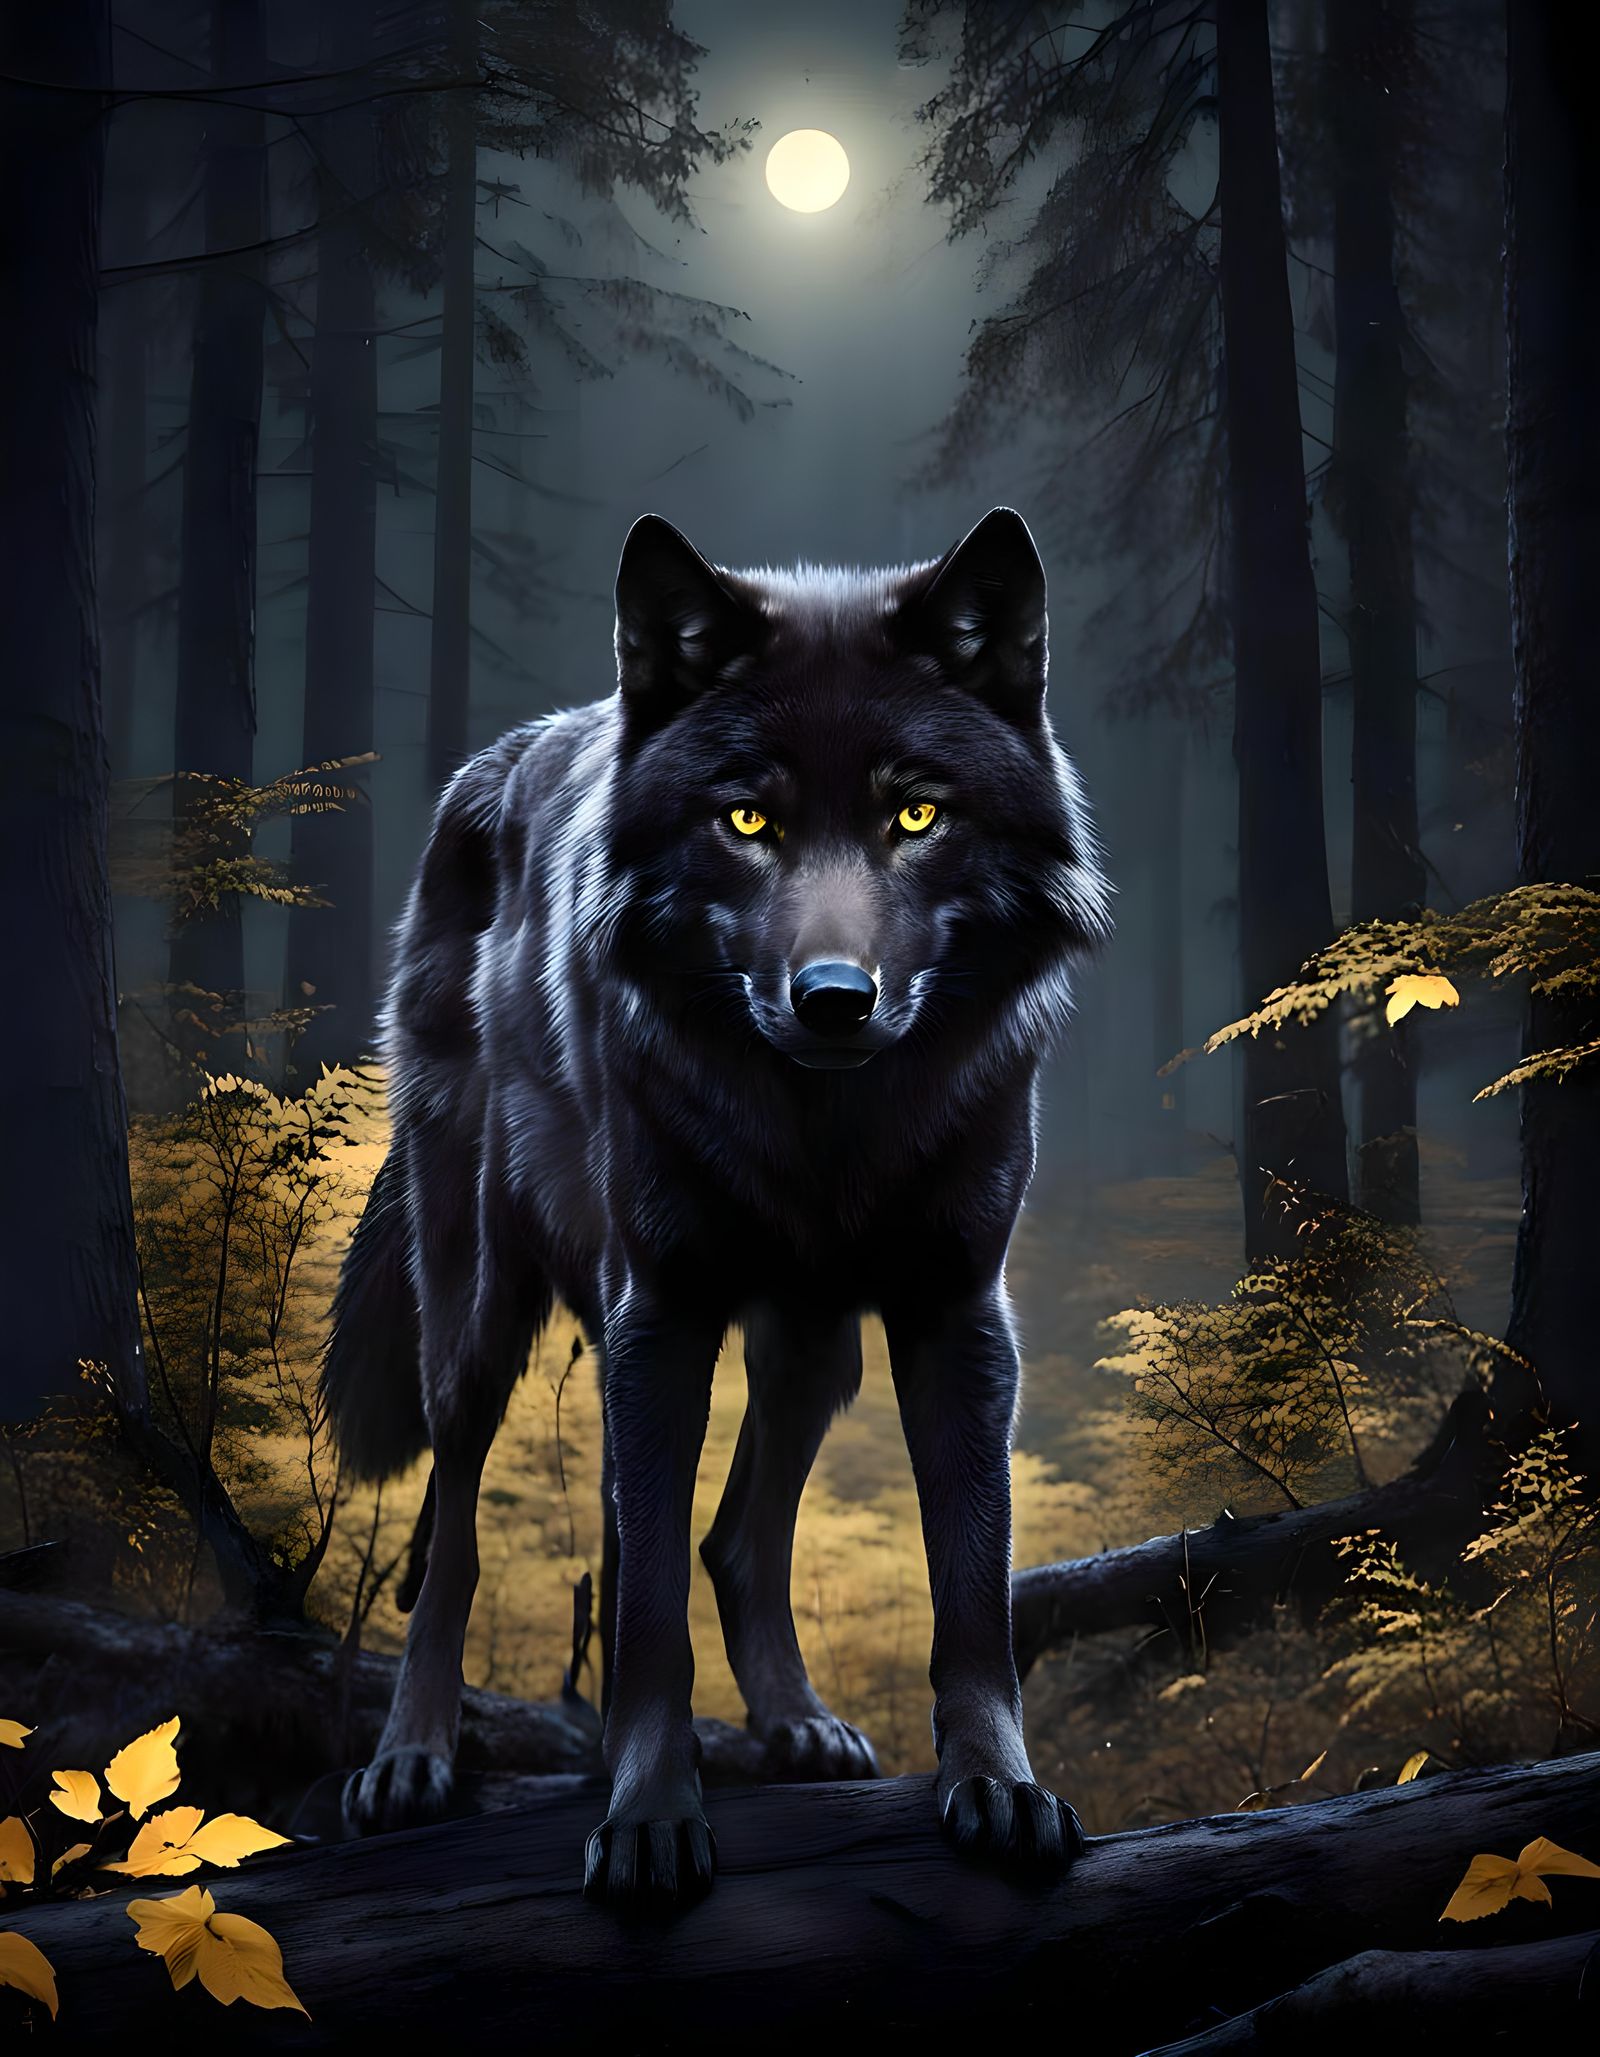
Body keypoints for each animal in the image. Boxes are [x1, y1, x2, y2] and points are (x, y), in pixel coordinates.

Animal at [322, 505, 1111, 1906]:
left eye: (917, 813)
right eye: (746, 817)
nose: (835, 999)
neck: (822, 1127)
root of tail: (504, 753)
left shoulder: (957, 1316)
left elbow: (970, 1591)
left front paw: (999, 1791)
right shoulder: (666, 1308)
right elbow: (638, 1623)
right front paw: (647, 1817)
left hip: (812, 1346)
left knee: (724, 1538)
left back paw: (794, 1721)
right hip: (480, 1311)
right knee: (456, 1537)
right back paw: (409, 1759)